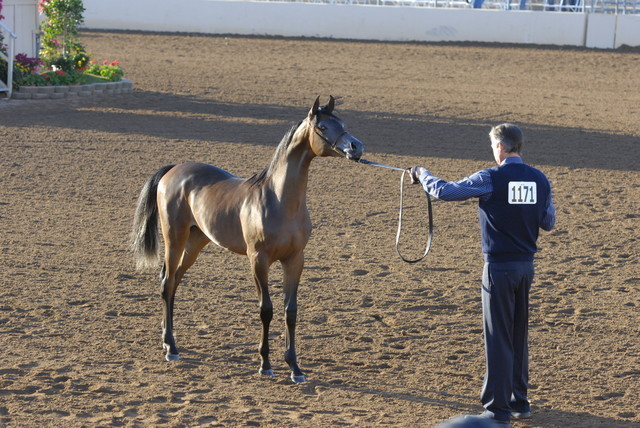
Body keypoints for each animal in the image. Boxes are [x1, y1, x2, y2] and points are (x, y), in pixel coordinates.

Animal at [131, 96, 364, 383]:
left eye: (342, 123)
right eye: (322, 126)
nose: (356, 147)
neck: (279, 200)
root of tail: (173, 170)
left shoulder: (295, 260)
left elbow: (290, 311)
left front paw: (295, 368)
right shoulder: (258, 260)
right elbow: (266, 309)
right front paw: (265, 364)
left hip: (195, 242)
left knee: (173, 282)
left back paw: (167, 340)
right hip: (175, 238)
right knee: (166, 282)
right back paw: (171, 348)